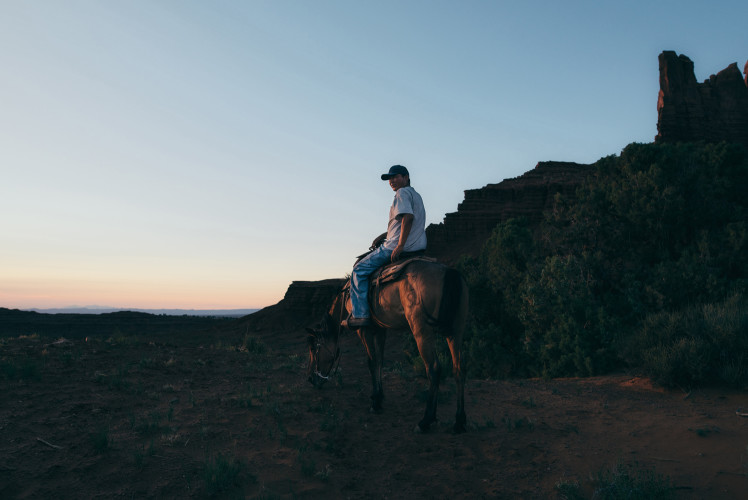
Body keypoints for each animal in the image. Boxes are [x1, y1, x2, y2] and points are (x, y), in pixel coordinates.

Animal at [304, 260, 468, 432]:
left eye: (313, 348)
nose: (310, 378)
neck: (346, 296)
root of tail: (449, 272)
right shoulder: (381, 330)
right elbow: (379, 361)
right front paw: (380, 396)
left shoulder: (364, 330)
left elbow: (371, 362)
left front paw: (375, 402)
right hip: (456, 331)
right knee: (459, 368)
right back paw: (459, 421)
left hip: (422, 332)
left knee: (434, 368)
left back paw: (426, 420)